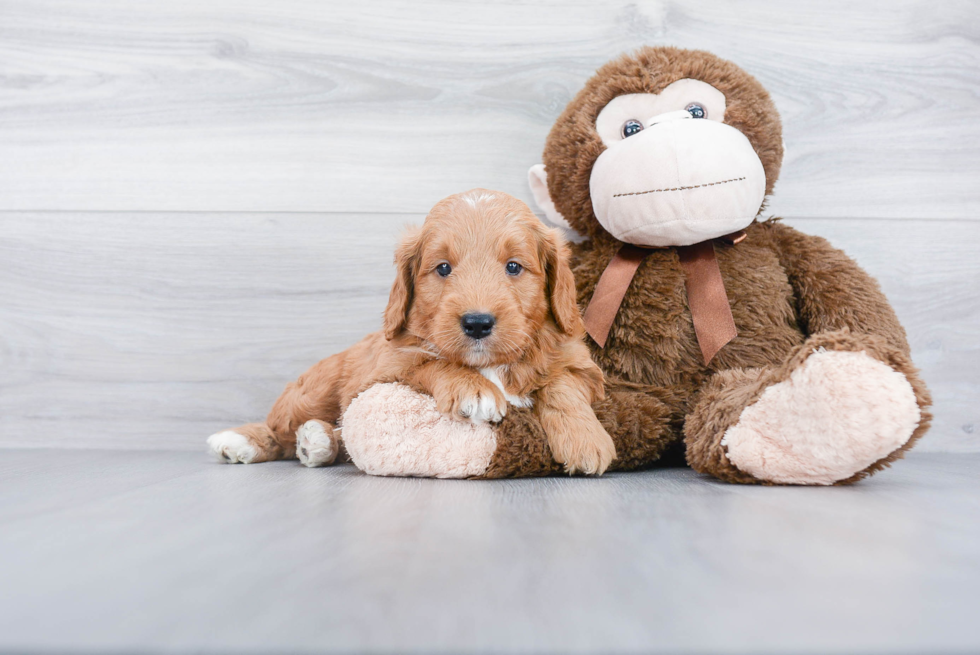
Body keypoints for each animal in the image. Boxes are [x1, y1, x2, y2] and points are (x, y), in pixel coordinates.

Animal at [210, 190, 616, 476]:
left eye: (514, 267)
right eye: (443, 268)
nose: (478, 323)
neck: (491, 365)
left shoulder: (581, 365)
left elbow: (562, 385)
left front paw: (586, 440)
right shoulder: (387, 366)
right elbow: (429, 361)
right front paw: (472, 388)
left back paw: (316, 442)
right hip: (313, 391)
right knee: (280, 426)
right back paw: (243, 440)